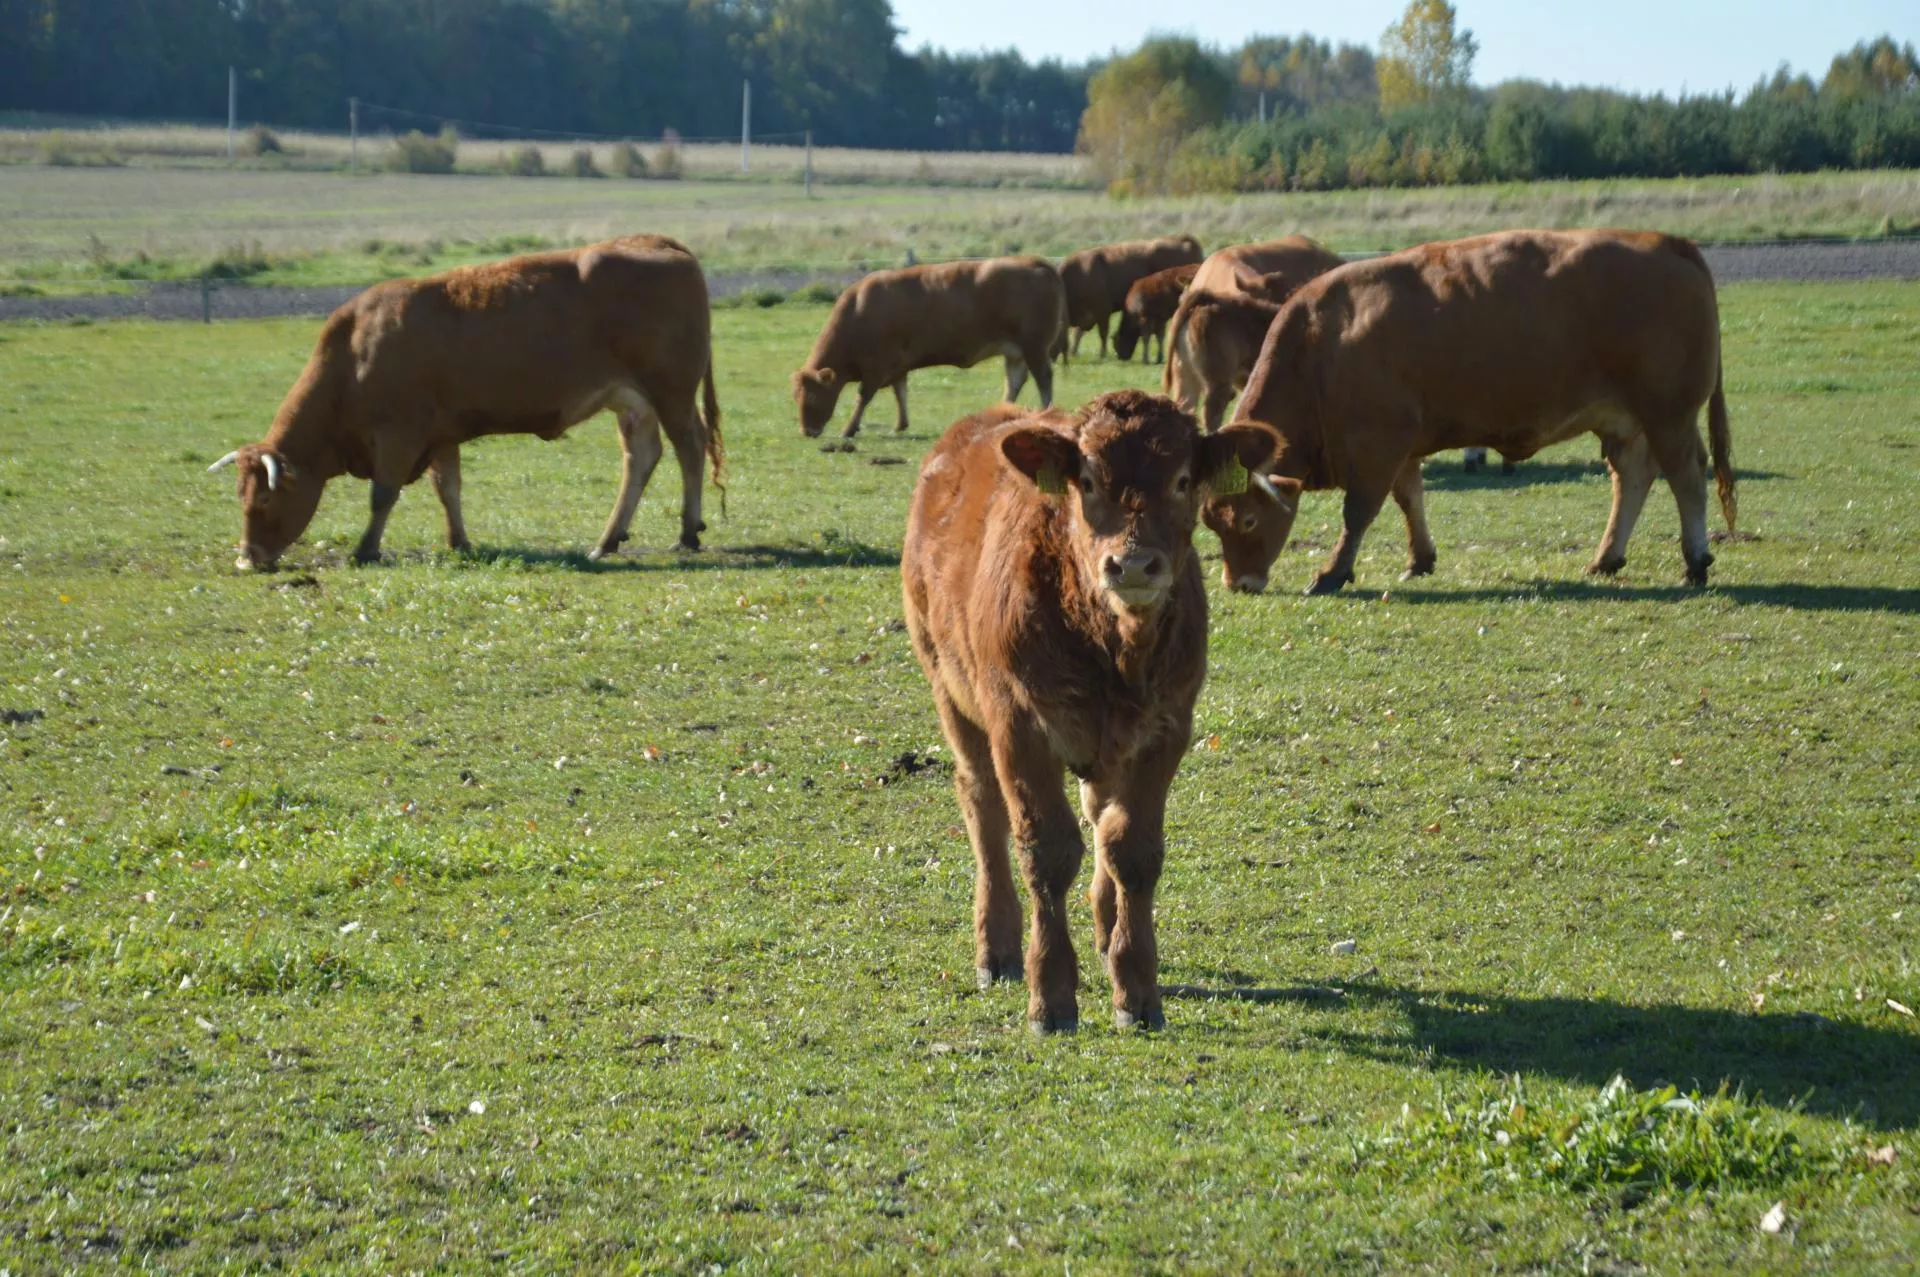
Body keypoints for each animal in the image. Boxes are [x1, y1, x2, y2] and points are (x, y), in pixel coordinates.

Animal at [208, 233, 721, 568]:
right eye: (240, 498)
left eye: (264, 501)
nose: (247, 559)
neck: (354, 353)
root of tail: (656, 243)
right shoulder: (441, 435)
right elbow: (448, 489)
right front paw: (458, 541)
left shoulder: (399, 435)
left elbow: (382, 494)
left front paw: (366, 549)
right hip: (632, 401)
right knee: (642, 458)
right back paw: (608, 539)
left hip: (672, 392)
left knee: (690, 448)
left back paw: (687, 532)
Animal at [791, 257, 1067, 441]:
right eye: (796, 396)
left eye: (812, 396)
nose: (807, 431)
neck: (860, 311)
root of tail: (1032, 262)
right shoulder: (897, 366)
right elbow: (900, 393)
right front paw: (900, 424)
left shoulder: (876, 367)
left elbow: (864, 397)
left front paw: (849, 428)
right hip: (1016, 351)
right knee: (1014, 382)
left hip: (1034, 347)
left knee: (1043, 378)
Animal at [902, 393, 1290, 1029]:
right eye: (1086, 481)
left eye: (1183, 480)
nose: (1131, 565)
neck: (1112, 645)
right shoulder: (1020, 725)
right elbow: (1046, 851)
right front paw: (1051, 995)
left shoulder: (1167, 727)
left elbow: (1131, 848)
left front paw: (1136, 989)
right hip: (949, 687)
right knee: (982, 804)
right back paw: (996, 948)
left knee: (1100, 817)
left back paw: (1107, 933)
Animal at [1059, 234, 1205, 359]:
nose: (1122, 356)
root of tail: (1185, 240)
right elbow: (1078, 334)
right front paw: (1074, 352)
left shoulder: (1103, 313)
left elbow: (1102, 334)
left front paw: (1102, 354)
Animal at [1198, 227, 1743, 591]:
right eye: (1211, 522)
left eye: (1248, 521)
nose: (1238, 584)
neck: (1320, 344)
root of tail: (1666, 241)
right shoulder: (1401, 447)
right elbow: (1409, 498)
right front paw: (1419, 559)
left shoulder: (1377, 446)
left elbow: (1359, 512)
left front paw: (1333, 572)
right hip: (1628, 420)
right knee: (1633, 476)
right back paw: (1607, 557)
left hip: (1668, 414)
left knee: (1686, 477)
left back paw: (1695, 560)